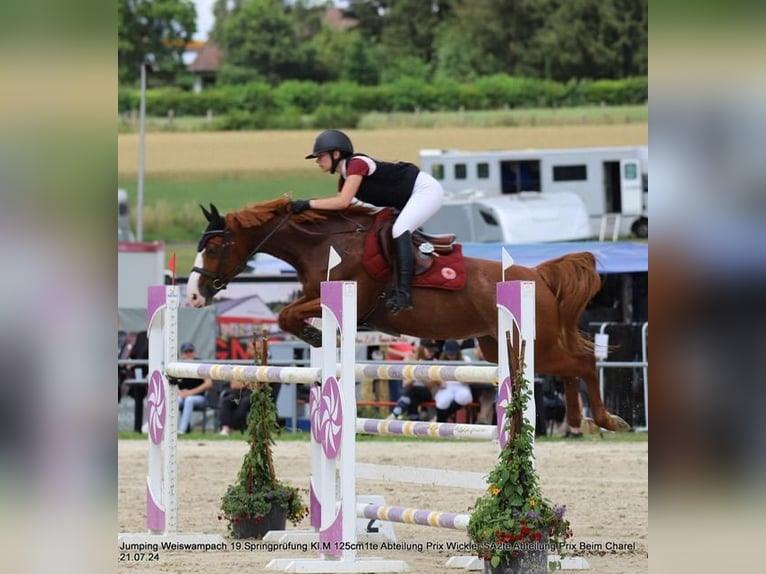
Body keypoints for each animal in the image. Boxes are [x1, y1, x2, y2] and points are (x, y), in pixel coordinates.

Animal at [186, 197, 632, 432]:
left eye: (215, 247)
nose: (191, 294)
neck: (322, 243)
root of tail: (539, 275)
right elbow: (288, 317)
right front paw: (318, 338)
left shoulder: (346, 295)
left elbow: (287, 317)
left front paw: (315, 337)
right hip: (499, 346)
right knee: (569, 368)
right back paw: (577, 420)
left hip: (534, 339)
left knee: (582, 362)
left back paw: (608, 420)